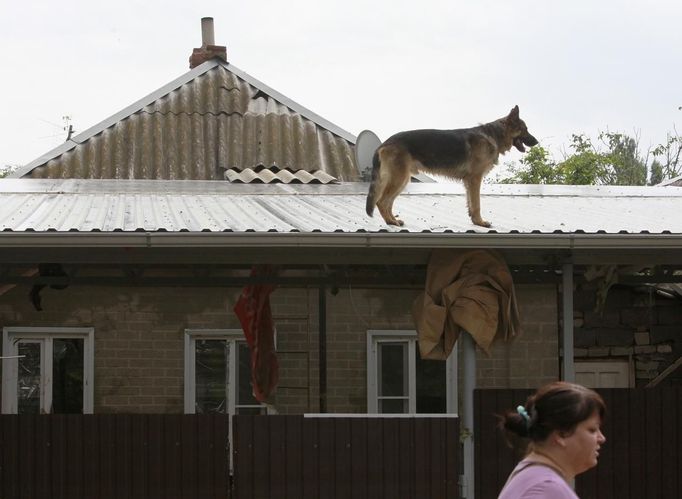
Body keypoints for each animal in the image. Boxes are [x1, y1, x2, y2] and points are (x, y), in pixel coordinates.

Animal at [364, 108, 532, 229]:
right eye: (525, 129)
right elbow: (477, 203)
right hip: (399, 179)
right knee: (382, 201)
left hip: (402, 180)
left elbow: (471, 203)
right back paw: (391, 222)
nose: (535, 141)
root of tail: (384, 143)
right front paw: (480, 222)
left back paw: (393, 220)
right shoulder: (475, 178)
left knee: (387, 202)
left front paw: (474, 221)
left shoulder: (469, 182)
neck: (494, 135)